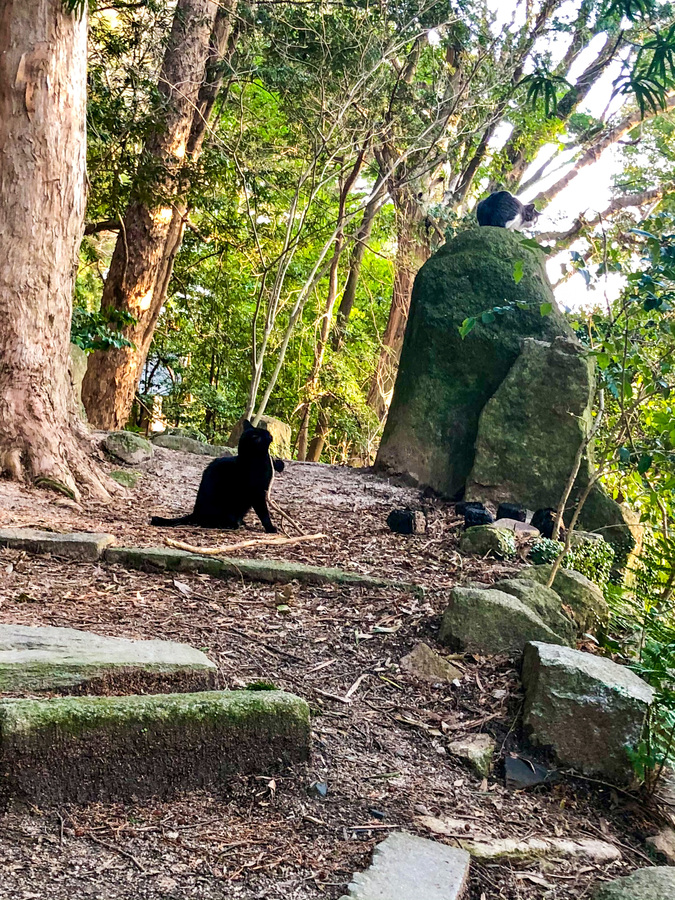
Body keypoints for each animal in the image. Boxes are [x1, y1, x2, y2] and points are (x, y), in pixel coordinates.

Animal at [151, 422, 280, 536]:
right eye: (266, 434)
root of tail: (195, 513)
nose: (271, 434)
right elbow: (264, 513)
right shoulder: (257, 494)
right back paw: (232, 524)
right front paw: (270, 528)